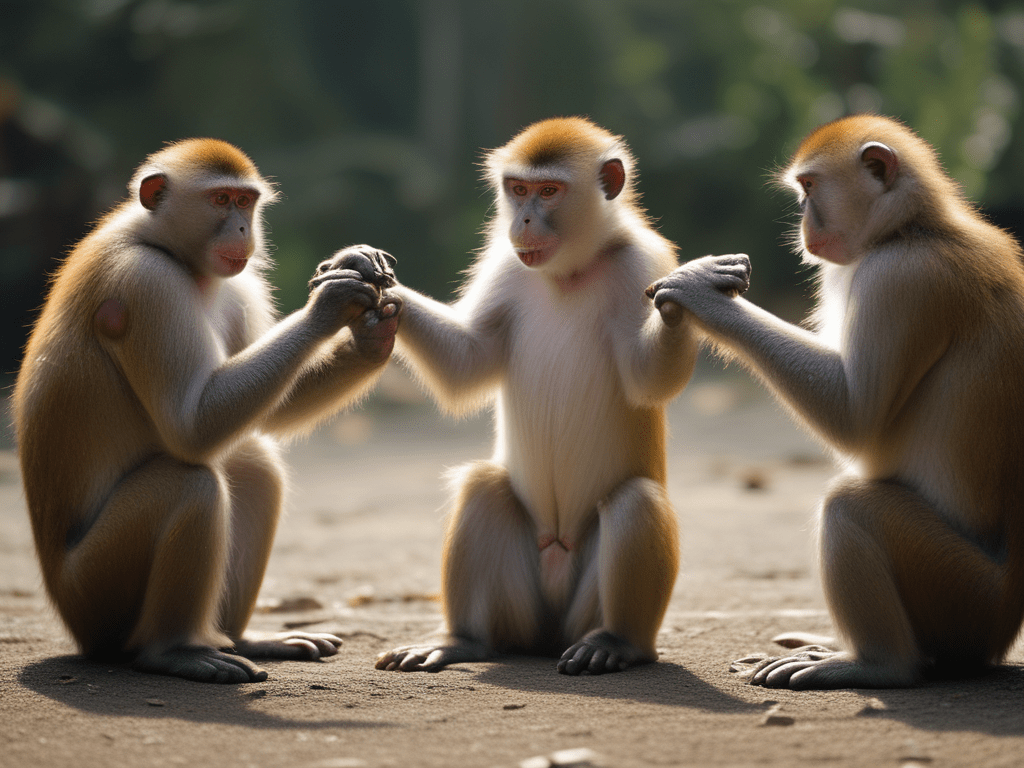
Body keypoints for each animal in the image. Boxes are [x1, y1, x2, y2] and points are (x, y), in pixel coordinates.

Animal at [12, 139, 401, 683]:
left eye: (246, 202)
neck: (162, 245)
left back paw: (242, 638)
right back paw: (176, 651)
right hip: (93, 591)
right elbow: (190, 429)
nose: (242, 230)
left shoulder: (237, 285)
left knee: (252, 466)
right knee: (192, 485)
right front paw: (331, 304)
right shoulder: (147, 284)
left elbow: (267, 415)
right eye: (220, 200)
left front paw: (371, 333)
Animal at [325, 117, 695, 675]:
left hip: (583, 608)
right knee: (484, 487)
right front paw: (362, 269)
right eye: (518, 189)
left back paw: (616, 643)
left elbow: (648, 380)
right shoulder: (504, 264)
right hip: (520, 610)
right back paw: (462, 640)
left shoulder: (641, 263)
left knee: (636, 501)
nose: (521, 220)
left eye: (549, 192)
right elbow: (469, 361)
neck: (570, 272)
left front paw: (685, 298)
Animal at [647, 114, 1024, 689]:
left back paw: (877, 664)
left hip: (965, 599)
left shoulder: (898, 279)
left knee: (851, 507)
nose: (802, 221)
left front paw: (701, 294)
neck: (913, 228)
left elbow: (855, 418)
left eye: (809, 188)